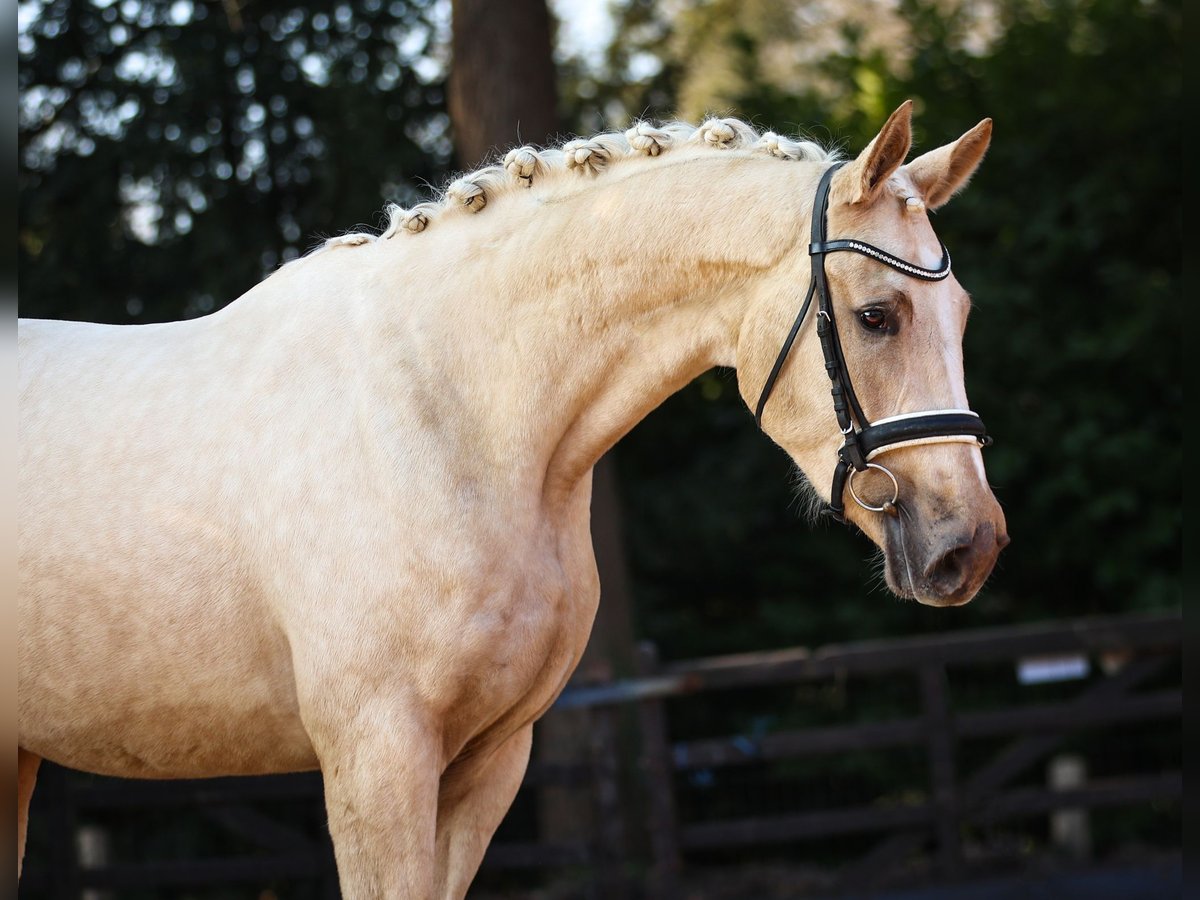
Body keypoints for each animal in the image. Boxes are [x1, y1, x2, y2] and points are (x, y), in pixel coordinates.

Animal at [18, 102, 1008, 897]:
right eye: (877, 316)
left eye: (963, 313)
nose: (970, 544)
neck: (455, 413)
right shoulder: (376, 760)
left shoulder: (490, 760)